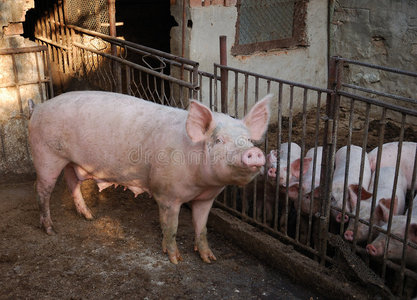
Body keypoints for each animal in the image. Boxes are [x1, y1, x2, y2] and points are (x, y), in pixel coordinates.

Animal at [27, 91, 272, 262]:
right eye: (219, 140)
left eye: (248, 140)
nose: (254, 152)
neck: (201, 185)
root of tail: (37, 107)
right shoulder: (167, 194)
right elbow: (170, 228)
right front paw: (175, 260)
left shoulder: (206, 198)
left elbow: (201, 228)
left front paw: (210, 259)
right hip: (46, 155)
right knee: (41, 189)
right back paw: (50, 230)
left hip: (70, 161)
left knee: (72, 183)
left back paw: (89, 216)